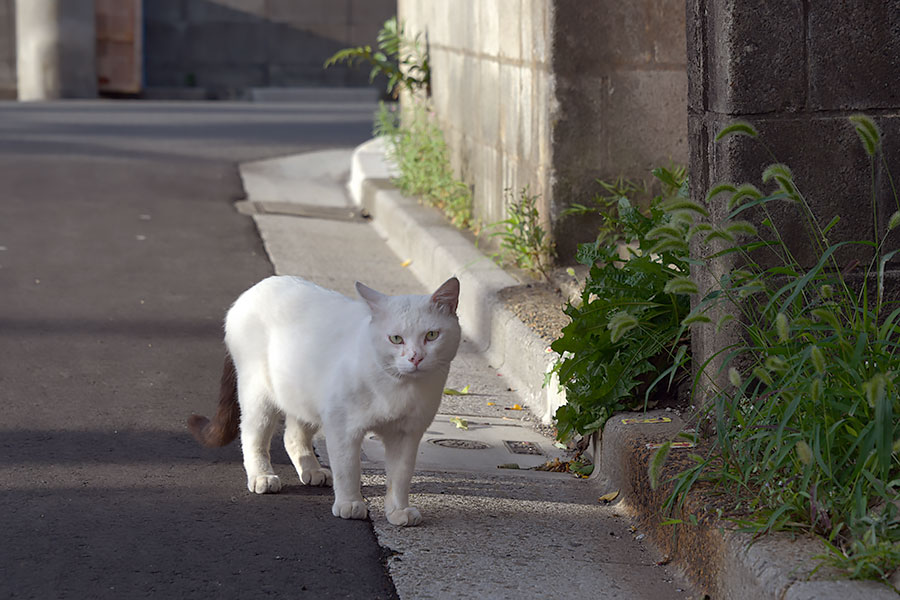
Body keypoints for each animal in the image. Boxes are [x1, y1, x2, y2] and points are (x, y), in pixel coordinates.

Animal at [187, 276, 460, 524]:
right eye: (396, 339)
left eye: (432, 335)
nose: (415, 357)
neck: (399, 387)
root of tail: (252, 289)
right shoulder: (342, 426)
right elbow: (348, 469)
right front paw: (350, 504)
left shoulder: (407, 434)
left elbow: (400, 476)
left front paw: (398, 511)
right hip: (259, 398)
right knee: (253, 437)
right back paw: (262, 477)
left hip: (303, 398)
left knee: (292, 436)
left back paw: (312, 471)